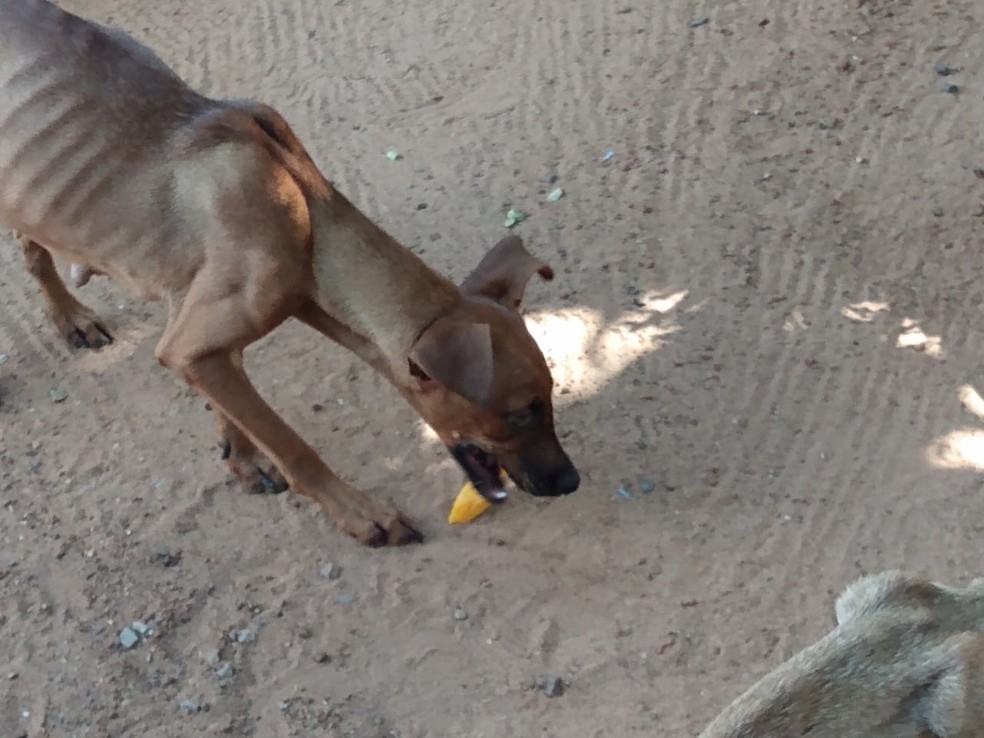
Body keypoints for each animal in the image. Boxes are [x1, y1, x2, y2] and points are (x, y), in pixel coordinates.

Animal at [0, 1, 580, 548]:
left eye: (551, 396)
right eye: (520, 413)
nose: (571, 482)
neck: (304, 212)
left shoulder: (194, 322)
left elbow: (225, 393)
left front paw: (241, 456)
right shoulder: (197, 336)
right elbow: (294, 448)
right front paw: (361, 514)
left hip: (36, 192)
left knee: (33, 245)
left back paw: (70, 317)